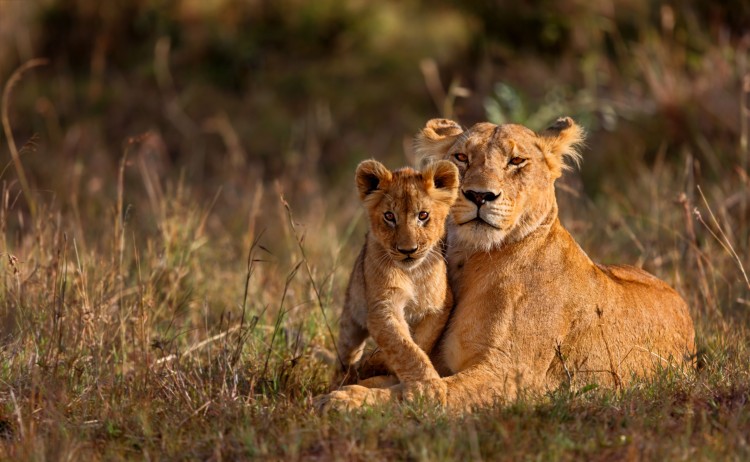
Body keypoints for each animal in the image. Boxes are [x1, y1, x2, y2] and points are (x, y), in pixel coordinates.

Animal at [332, 159, 460, 388]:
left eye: (423, 215)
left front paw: (378, 362)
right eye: (389, 216)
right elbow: (404, 348)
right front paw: (428, 386)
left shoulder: (439, 306)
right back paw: (342, 379)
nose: (408, 250)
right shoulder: (383, 307)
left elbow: (419, 342)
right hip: (351, 318)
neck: (412, 274)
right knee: (346, 354)